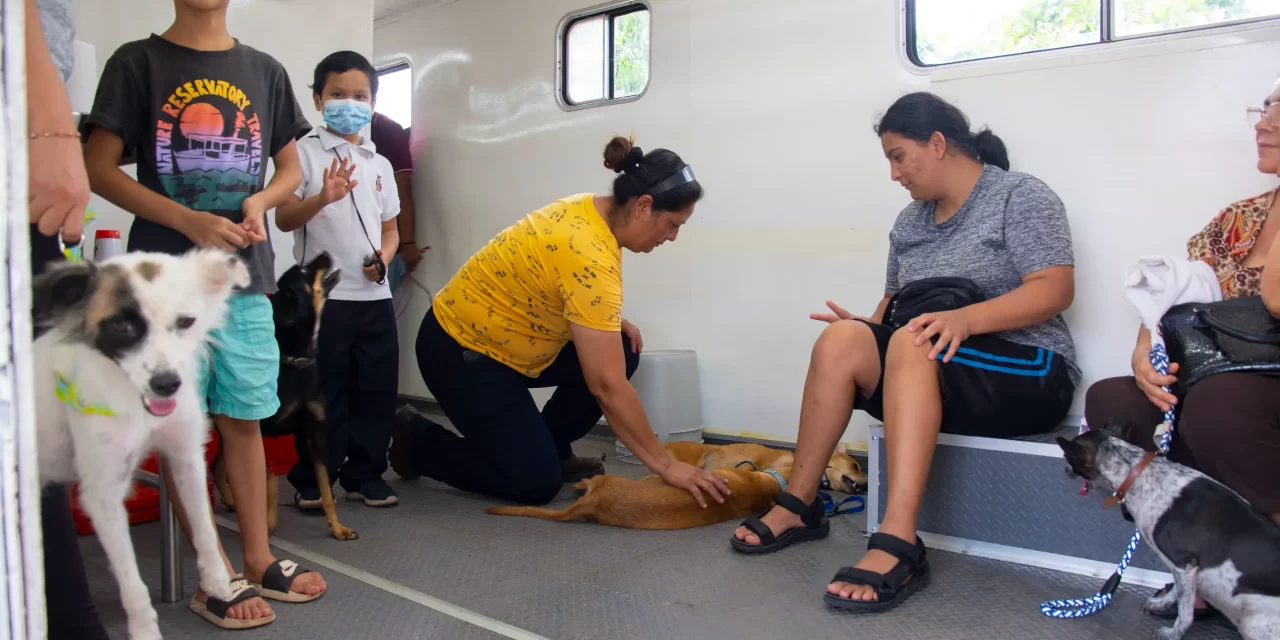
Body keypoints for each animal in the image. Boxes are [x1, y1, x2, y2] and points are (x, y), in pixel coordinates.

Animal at [212, 253, 355, 540]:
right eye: (304, 271)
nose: (324, 253)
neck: (296, 361)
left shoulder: (314, 434)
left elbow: (325, 488)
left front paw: (337, 528)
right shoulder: (262, 432)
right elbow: (268, 482)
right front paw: (267, 525)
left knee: (218, 466)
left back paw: (232, 501)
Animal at [1059, 424, 1280, 640]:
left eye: (1068, 457)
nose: (1065, 470)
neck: (1138, 473)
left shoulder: (1183, 564)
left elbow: (1185, 612)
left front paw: (1173, 633)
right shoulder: (1184, 570)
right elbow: (1177, 593)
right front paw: (1162, 605)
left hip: (1252, 622)